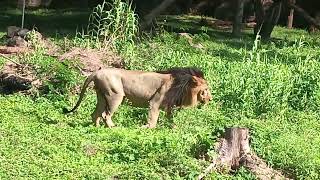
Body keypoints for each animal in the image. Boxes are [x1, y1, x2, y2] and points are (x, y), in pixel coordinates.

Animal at [62, 67, 212, 128]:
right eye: (205, 90)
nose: (211, 99)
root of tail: (96, 73)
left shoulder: (170, 107)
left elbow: (171, 119)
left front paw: (173, 128)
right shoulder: (154, 103)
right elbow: (153, 121)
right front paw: (145, 128)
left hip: (102, 96)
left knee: (95, 114)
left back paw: (97, 128)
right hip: (115, 95)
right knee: (105, 114)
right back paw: (113, 127)